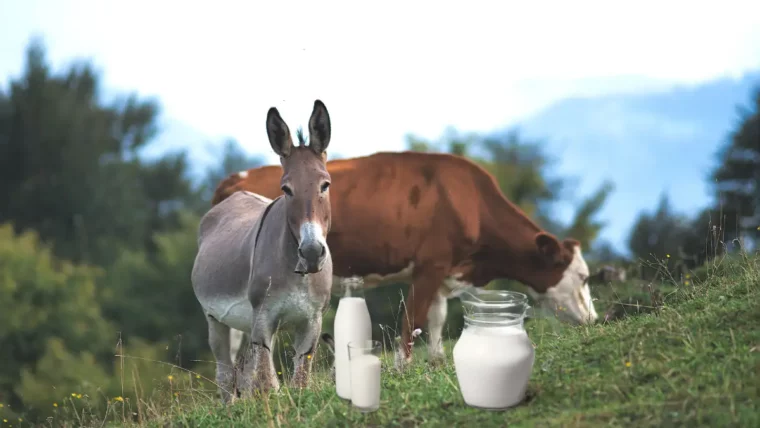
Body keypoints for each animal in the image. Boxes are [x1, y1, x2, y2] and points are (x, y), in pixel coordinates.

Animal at [214, 151, 599, 370]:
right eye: (582, 278)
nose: (595, 320)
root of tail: (235, 179)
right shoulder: (429, 265)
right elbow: (411, 317)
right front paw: (403, 365)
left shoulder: (443, 271)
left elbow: (436, 318)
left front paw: (437, 360)